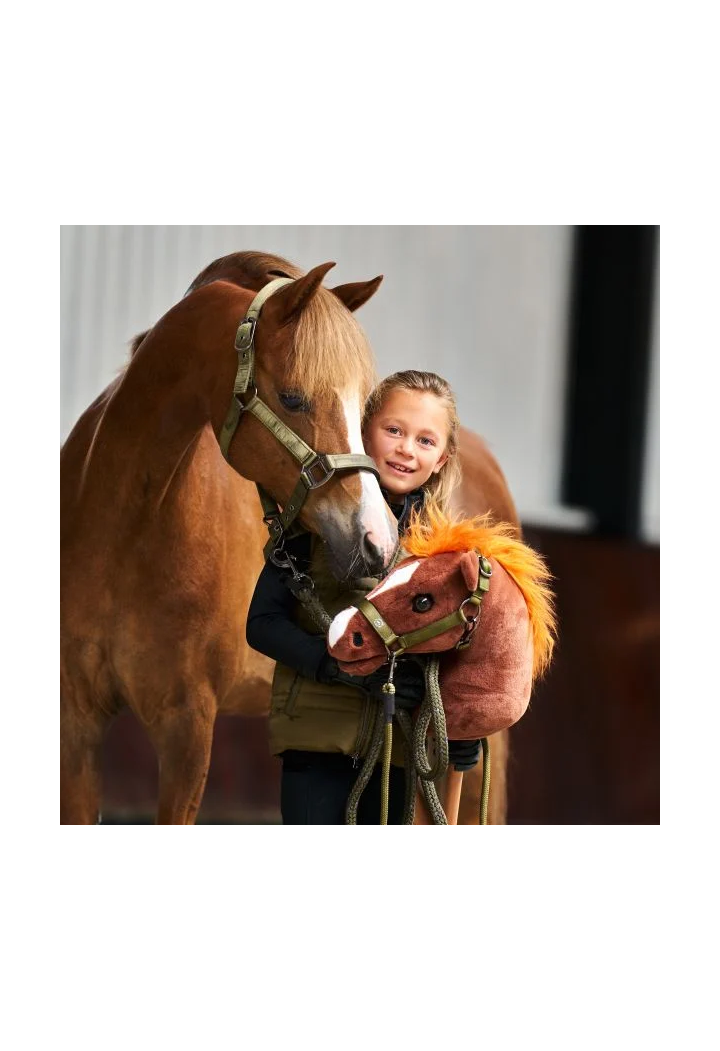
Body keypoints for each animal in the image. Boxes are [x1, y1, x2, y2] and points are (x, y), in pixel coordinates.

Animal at [60, 250, 520, 824]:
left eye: (364, 407)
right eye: (293, 398)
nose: (377, 542)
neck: (125, 530)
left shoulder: (187, 728)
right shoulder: (76, 720)